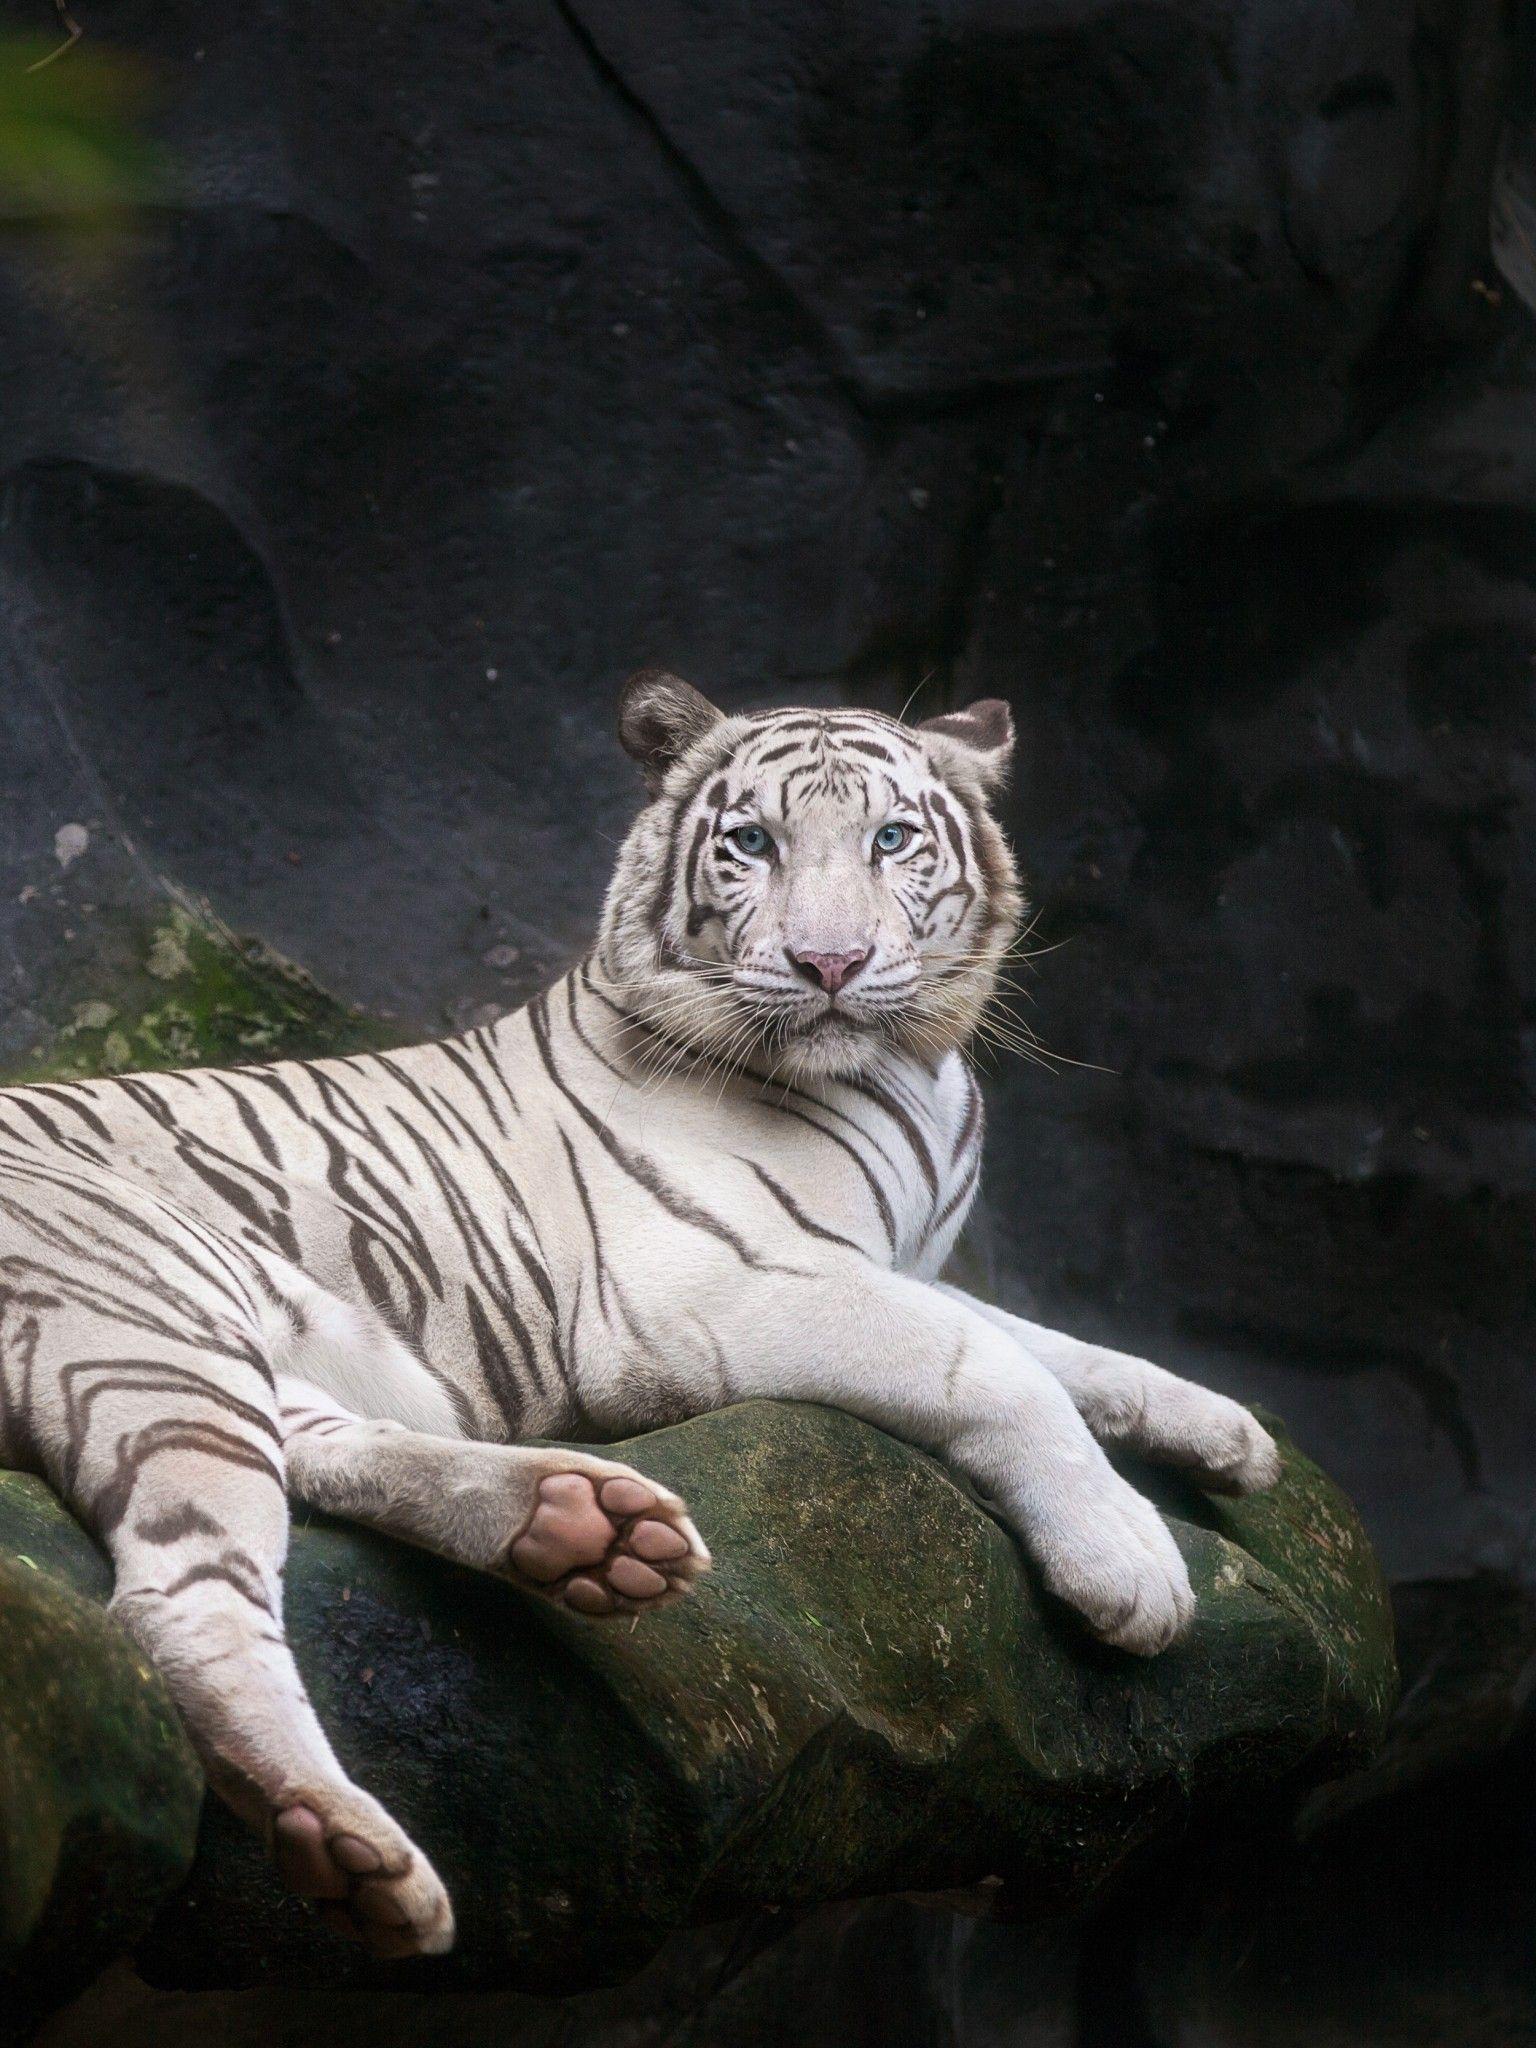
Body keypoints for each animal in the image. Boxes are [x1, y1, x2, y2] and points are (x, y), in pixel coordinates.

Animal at [0, 673, 1279, 1957]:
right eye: (752, 842)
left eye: (890, 839)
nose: (830, 961)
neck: (909, 1071)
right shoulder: (715, 1284)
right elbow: (993, 1361)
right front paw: (1130, 1562)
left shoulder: (897, 1261)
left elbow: (1056, 1344)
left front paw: (1227, 1432)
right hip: (147, 1301)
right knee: (178, 1591)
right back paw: (348, 1846)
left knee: (319, 1457)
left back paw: (580, 1526)